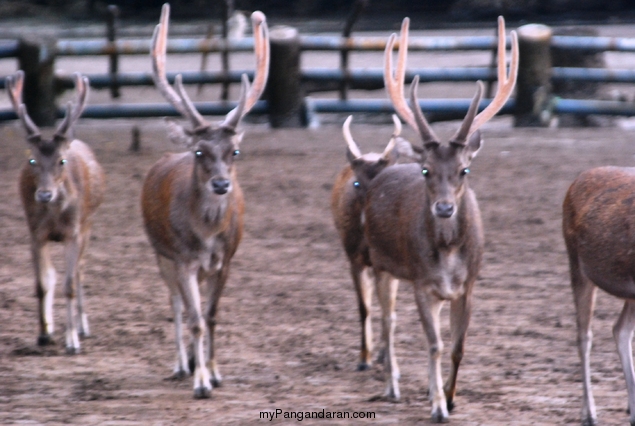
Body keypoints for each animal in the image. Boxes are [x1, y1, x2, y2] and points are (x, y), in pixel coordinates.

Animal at [6, 70, 104, 356]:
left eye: (62, 160)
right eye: (32, 160)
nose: (44, 195)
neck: (55, 217)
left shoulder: (74, 233)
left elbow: (69, 284)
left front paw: (72, 341)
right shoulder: (36, 234)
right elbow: (42, 283)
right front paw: (43, 334)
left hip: (88, 225)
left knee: (81, 271)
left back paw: (82, 327)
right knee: (52, 275)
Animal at [142, 4, 270, 400]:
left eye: (235, 151)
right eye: (200, 151)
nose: (221, 184)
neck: (208, 236)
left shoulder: (226, 260)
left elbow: (211, 317)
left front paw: (214, 372)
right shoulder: (183, 258)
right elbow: (195, 319)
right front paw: (200, 382)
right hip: (161, 252)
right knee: (176, 305)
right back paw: (181, 365)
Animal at [330, 115, 420, 372]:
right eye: (357, 184)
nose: (368, 218)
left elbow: (387, 308)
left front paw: (382, 356)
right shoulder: (353, 257)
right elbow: (365, 307)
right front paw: (363, 359)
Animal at [362, 17, 520, 422]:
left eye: (464, 169)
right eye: (426, 170)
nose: (445, 209)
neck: (448, 253)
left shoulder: (468, 286)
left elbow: (456, 346)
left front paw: (450, 397)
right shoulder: (422, 282)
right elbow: (432, 344)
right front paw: (436, 406)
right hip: (380, 262)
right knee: (387, 321)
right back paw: (392, 386)